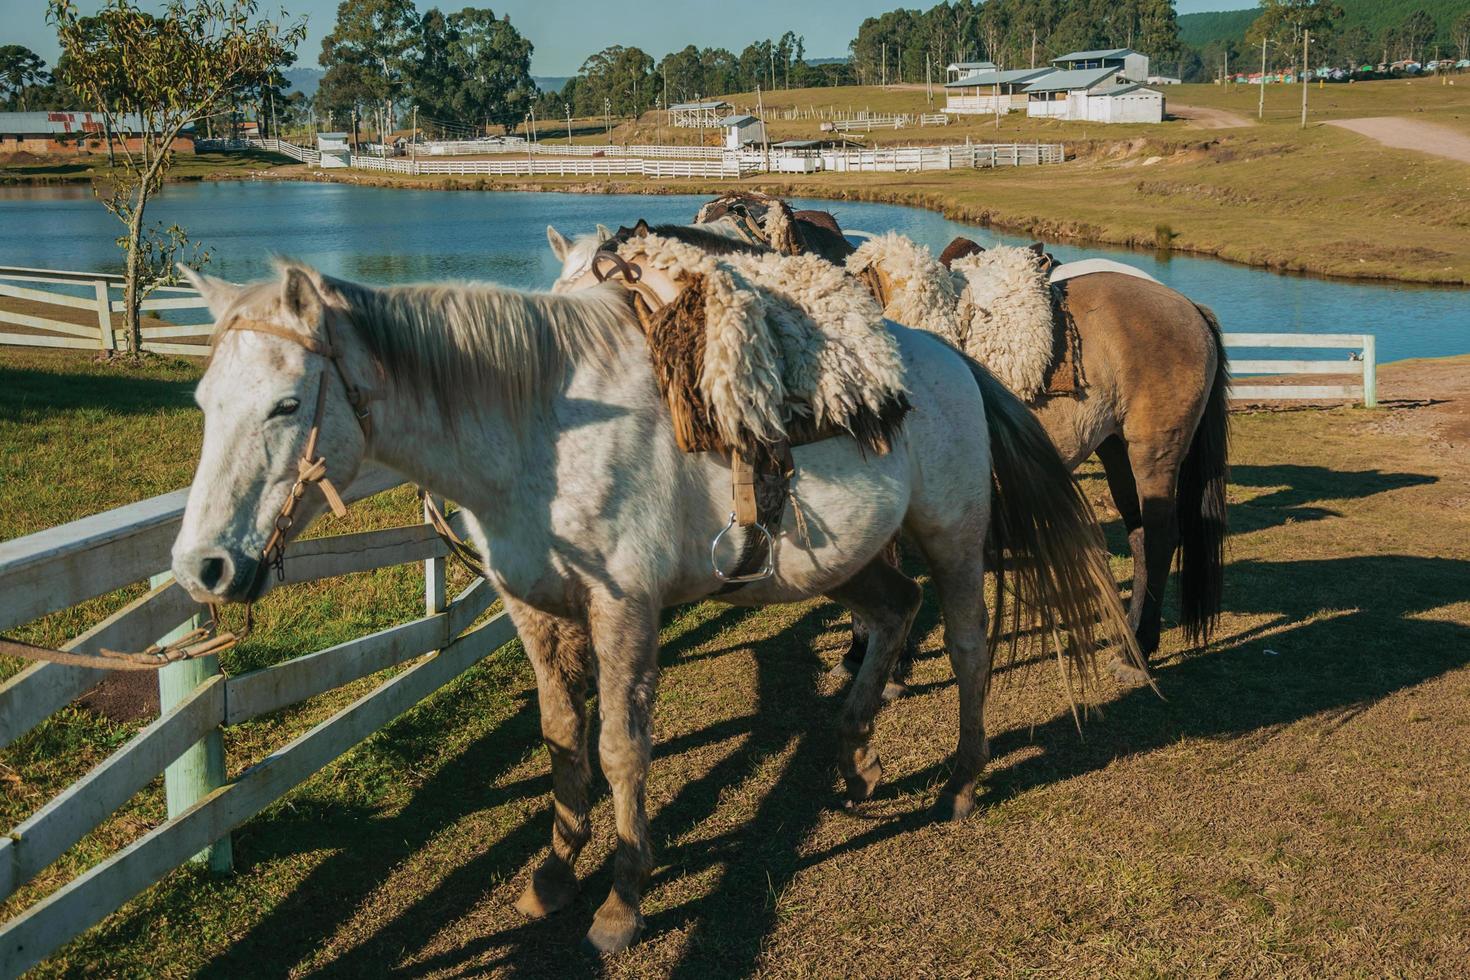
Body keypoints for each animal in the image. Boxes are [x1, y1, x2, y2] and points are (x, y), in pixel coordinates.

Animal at [169, 260, 1134, 957]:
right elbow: (562, 743)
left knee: (967, 647)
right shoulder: (536, 613)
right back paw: (853, 761)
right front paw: (553, 878)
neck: (544, 430)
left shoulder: (624, 612)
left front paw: (622, 902)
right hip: (843, 560)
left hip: (954, 539)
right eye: (204, 402)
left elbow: (622, 750)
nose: (203, 568)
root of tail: (949, 360)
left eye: (288, 403)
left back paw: (962, 782)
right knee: (892, 613)